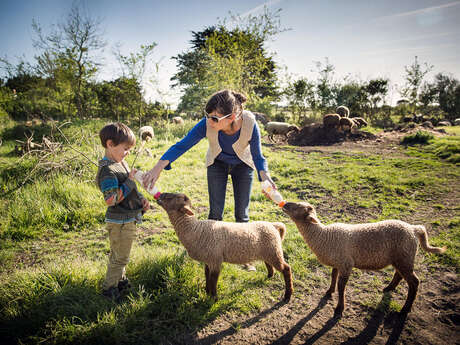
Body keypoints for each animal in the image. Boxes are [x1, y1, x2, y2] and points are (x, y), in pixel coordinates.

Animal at [156, 192, 292, 300]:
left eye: (171, 197)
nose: (159, 196)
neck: (194, 229)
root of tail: (273, 225)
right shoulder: (209, 260)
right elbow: (207, 275)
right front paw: (207, 292)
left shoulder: (215, 259)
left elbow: (213, 279)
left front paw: (213, 298)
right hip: (269, 251)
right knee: (269, 264)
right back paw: (269, 276)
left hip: (274, 251)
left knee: (286, 269)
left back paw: (288, 295)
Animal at [280, 200, 446, 316]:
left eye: (298, 207)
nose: (285, 204)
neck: (323, 236)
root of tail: (413, 229)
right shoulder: (338, 262)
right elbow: (333, 276)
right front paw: (329, 292)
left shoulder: (346, 264)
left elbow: (342, 287)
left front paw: (339, 309)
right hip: (401, 257)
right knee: (399, 274)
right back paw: (389, 288)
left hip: (405, 257)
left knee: (414, 282)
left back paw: (404, 310)